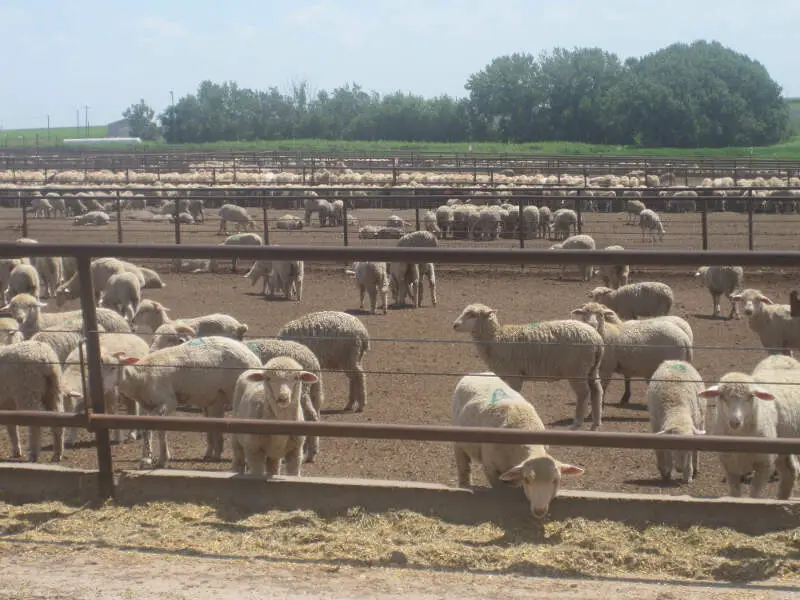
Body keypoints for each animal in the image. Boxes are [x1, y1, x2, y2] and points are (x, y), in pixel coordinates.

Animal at [114, 338, 262, 468]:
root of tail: (254, 358)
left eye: (114, 368)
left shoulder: (167, 402)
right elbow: (147, 428)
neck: (141, 375)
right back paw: (212, 453)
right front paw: (147, 458)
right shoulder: (148, 404)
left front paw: (161, 459)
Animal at [454, 304, 604, 432]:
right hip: (592, 369)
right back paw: (595, 424)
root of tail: (596, 338)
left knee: (583, 393)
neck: (495, 339)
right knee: (597, 390)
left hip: (577, 370)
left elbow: (514, 393)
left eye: (472, 315)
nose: (454, 325)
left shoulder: (514, 375)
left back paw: (576, 424)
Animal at [454, 372, 584, 516]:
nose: (539, 510)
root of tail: (478, 373)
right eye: (527, 479)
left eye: (556, 480)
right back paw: (465, 485)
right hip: (458, 441)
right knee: (463, 466)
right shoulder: (491, 468)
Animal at [700, 354, 800, 500]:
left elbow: (754, 496)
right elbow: (735, 494)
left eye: (750, 396)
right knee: (790, 471)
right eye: (722, 396)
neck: (740, 437)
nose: (734, 422)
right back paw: (782, 498)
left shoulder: (764, 464)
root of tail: (780, 356)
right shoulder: (729, 465)